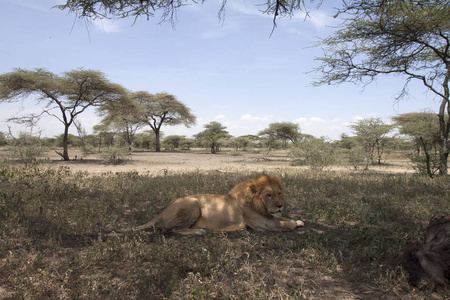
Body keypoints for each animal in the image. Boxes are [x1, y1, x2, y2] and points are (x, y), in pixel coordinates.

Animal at [131, 175, 306, 236]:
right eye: (269, 195)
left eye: (279, 193)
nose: (280, 205)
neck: (258, 205)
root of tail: (163, 211)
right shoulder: (264, 223)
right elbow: (285, 224)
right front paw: (294, 223)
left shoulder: (270, 216)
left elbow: (284, 218)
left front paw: (298, 220)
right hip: (193, 203)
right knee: (174, 229)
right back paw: (198, 231)